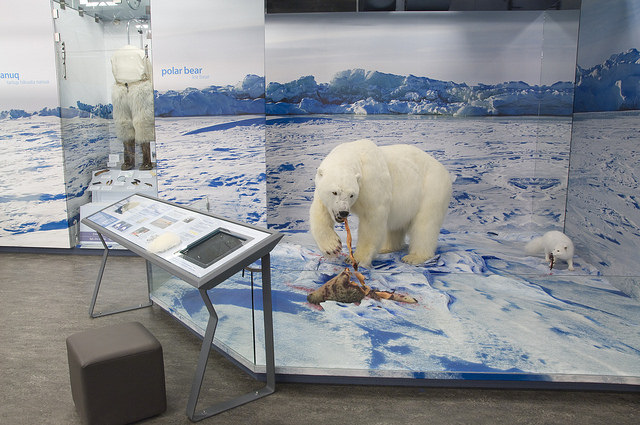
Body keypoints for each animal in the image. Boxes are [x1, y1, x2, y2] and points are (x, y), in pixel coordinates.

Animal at [308, 137, 450, 266]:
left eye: (351, 195)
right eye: (334, 192)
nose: (343, 212)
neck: (353, 154)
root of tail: (443, 169)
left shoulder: (370, 182)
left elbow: (372, 218)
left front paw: (357, 258)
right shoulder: (321, 190)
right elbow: (319, 211)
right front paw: (332, 247)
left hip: (431, 187)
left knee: (425, 224)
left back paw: (414, 257)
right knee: (395, 225)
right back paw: (386, 248)